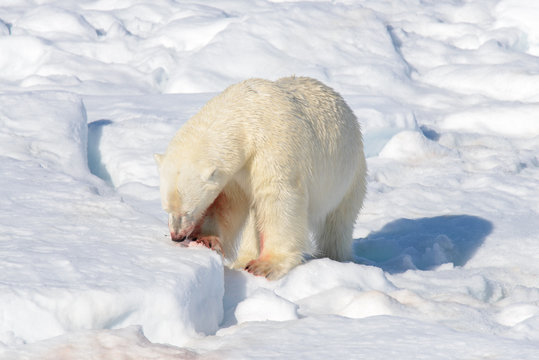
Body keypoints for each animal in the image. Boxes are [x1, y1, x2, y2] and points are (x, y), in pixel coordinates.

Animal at [154, 75, 370, 278]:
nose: (177, 236)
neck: (245, 114)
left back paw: (335, 258)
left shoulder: (274, 147)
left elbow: (277, 198)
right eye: (166, 209)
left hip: (348, 176)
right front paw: (207, 239)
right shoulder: (236, 172)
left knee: (336, 224)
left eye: (188, 211)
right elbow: (226, 203)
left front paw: (265, 266)